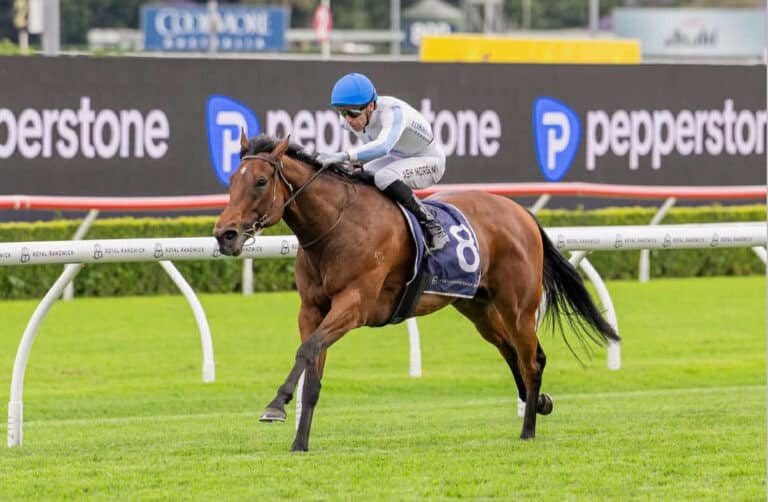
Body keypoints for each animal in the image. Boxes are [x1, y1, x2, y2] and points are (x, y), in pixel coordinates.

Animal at [214, 133, 619, 452]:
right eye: (233, 179)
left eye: (261, 181)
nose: (225, 234)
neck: (336, 226)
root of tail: (521, 214)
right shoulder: (312, 309)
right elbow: (312, 369)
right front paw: (300, 442)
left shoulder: (354, 305)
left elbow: (307, 349)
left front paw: (276, 405)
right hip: (478, 308)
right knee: (513, 352)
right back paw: (540, 403)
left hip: (517, 305)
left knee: (530, 359)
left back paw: (528, 429)